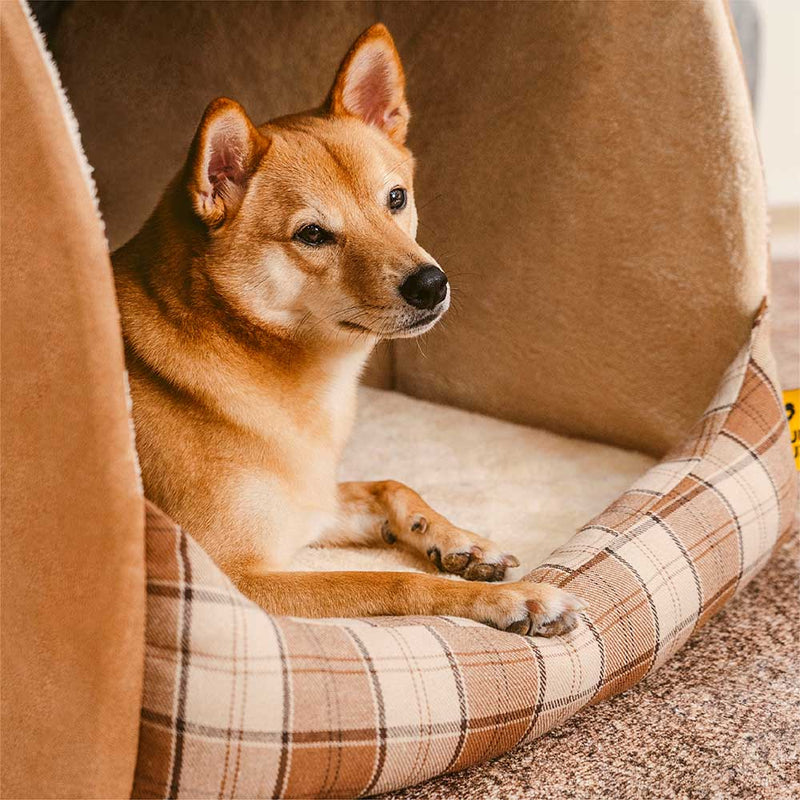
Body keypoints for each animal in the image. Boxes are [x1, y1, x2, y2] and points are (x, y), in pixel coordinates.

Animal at [114, 23, 580, 636]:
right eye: (312, 234)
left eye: (396, 198)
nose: (432, 284)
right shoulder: (238, 582)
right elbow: (395, 583)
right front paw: (512, 599)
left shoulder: (313, 505)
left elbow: (390, 485)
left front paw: (461, 543)